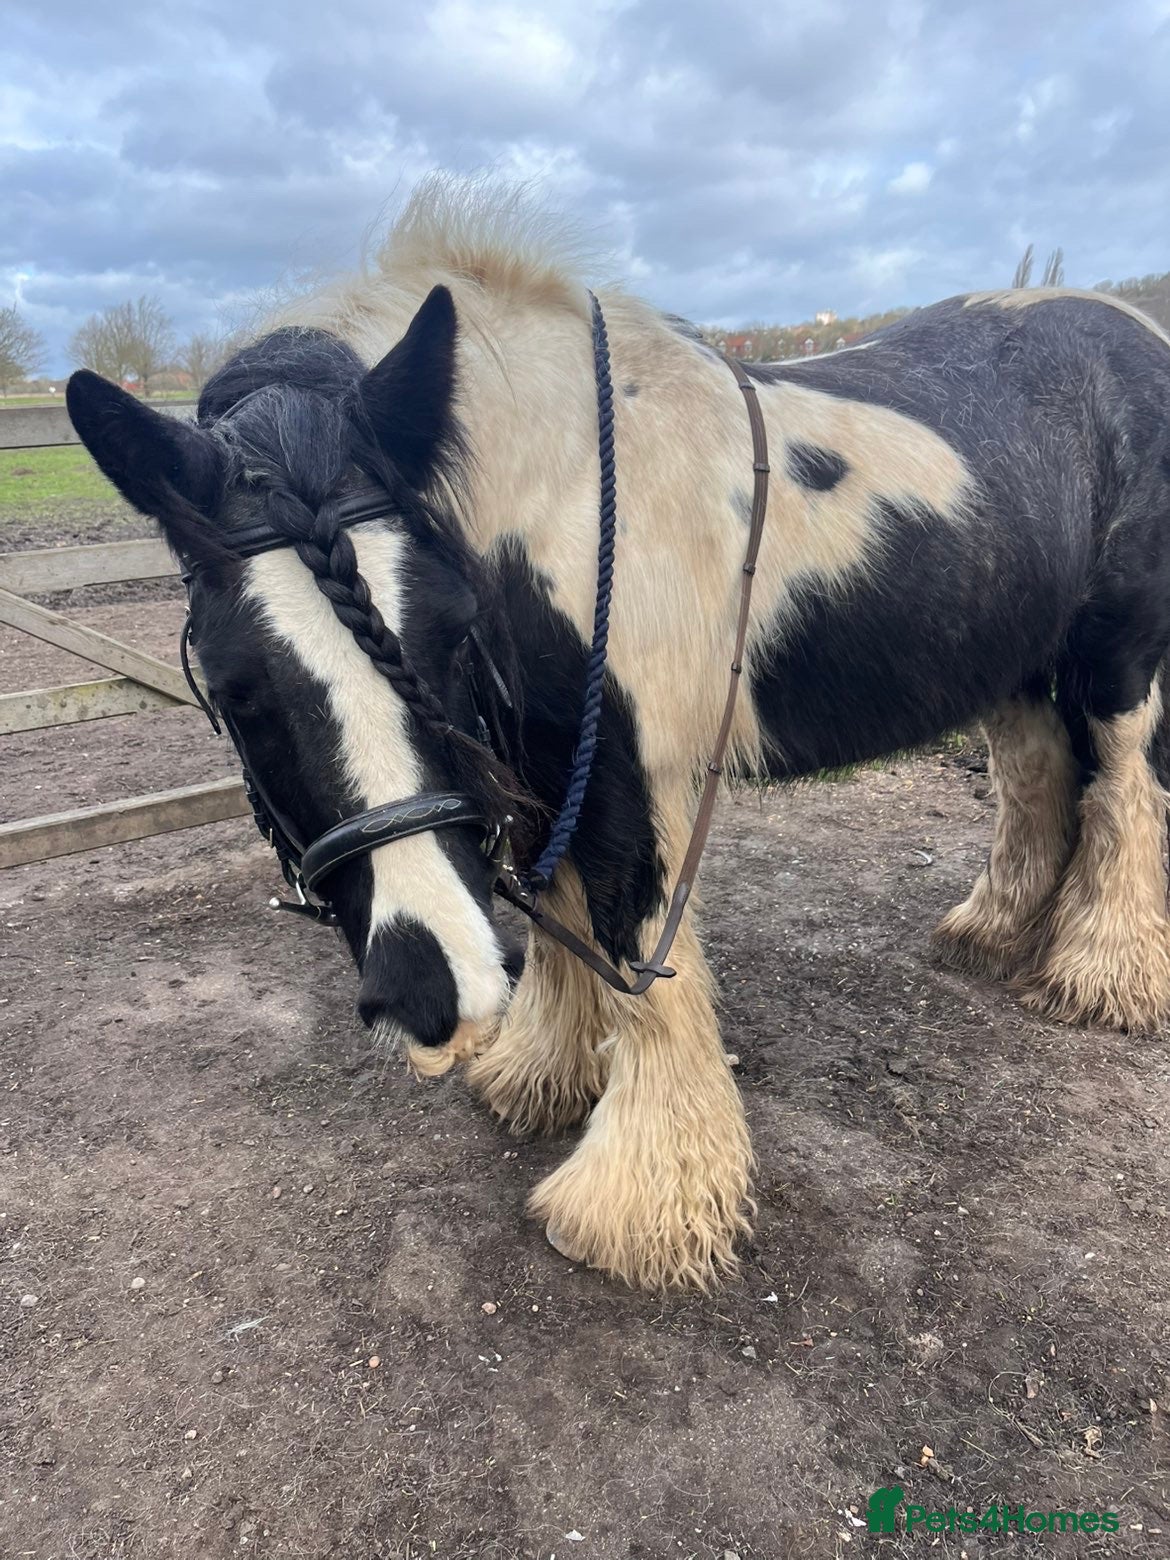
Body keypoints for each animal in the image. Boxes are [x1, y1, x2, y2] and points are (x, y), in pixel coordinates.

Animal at [66, 177, 1170, 1291]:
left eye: (451, 630)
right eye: (236, 687)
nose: (432, 990)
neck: (560, 504)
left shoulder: (628, 775)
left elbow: (635, 949)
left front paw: (641, 1202)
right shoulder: (544, 767)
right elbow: (562, 918)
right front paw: (538, 1077)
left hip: (1118, 662)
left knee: (1123, 793)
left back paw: (1102, 973)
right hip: (1016, 662)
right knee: (1036, 777)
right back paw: (995, 931)